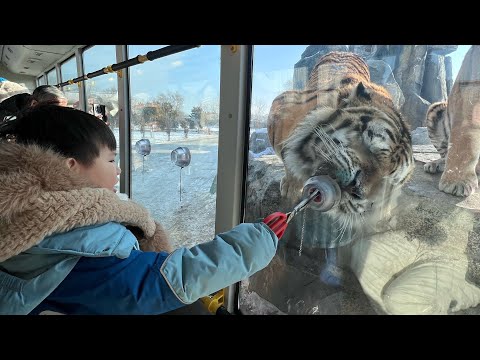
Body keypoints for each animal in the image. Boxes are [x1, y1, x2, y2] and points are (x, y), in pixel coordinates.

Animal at [268, 51, 414, 222]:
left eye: (388, 181)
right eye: (371, 148)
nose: (357, 191)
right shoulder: (283, 105)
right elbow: (287, 153)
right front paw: (291, 186)